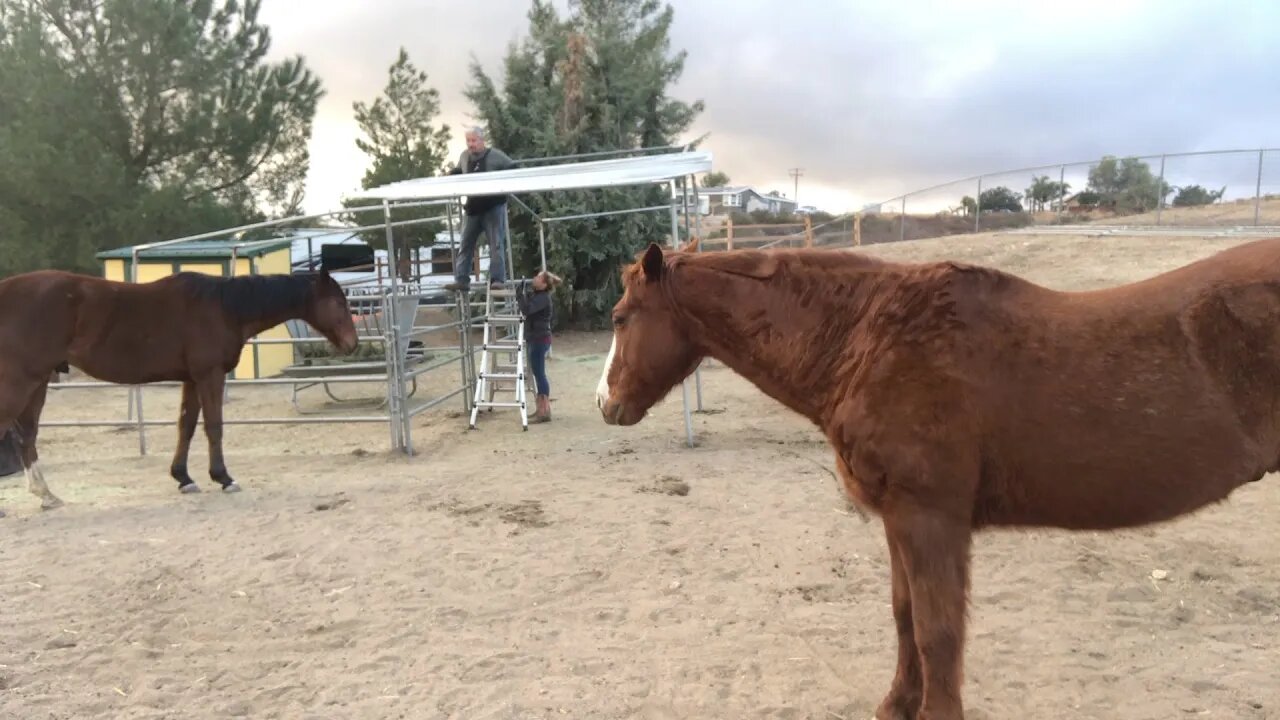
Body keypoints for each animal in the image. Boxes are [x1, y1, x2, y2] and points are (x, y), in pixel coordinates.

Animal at [1, 266, 360, 512]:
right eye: (337, 303)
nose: (352, 345)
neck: (223, 308)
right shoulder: (209, 375)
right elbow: (213, 426)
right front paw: (224, 478)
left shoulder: (191, 378)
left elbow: (185, 426)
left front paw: (183, 478)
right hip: (23, 380)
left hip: (38, 382)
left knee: (26, 436)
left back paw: (47, 495)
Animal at [596, 238, 1280, 712]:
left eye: (620, 317)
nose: (607, 404)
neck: (868, 338)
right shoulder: (899, 521)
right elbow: (905, 617)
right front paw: (896, 704)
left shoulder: (931, 520)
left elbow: (938, 633)